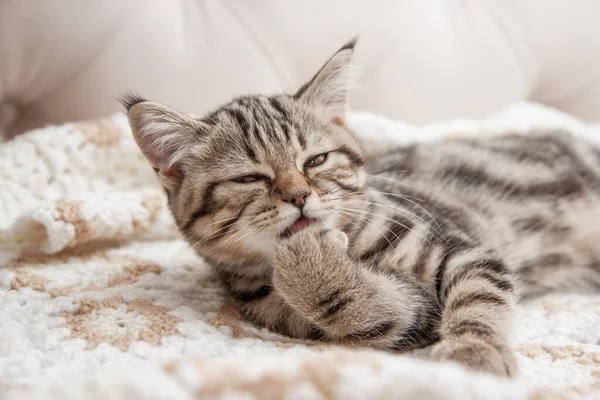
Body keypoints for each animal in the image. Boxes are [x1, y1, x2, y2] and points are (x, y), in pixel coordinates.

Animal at [119, 39, 600, 376]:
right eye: (250, 179)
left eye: (315, 161)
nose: (298, 196)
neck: (355, 249)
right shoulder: (404, 315)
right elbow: (369, 314)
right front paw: (315, 269)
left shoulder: (461, 246)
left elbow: (479, 297)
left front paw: (474, 351)